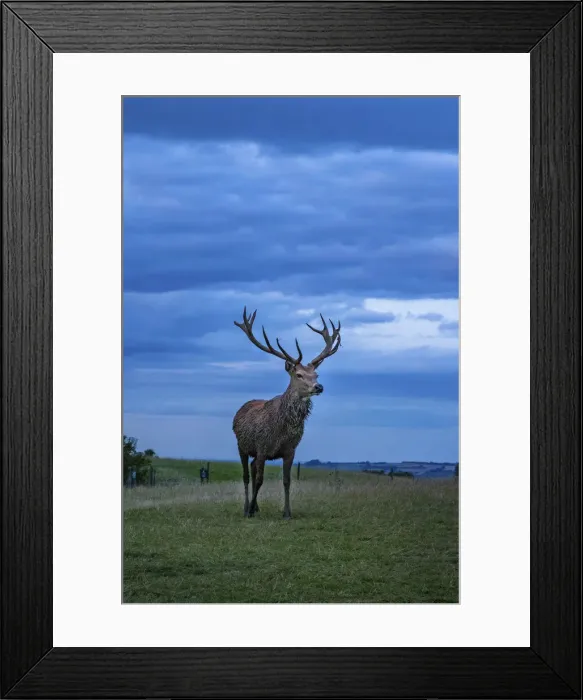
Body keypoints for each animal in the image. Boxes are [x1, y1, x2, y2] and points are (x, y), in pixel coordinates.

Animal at [232, 307, 341, 519]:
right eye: (298, 375)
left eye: (316, 375)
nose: (319, 387)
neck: (280, 429)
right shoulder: (262, 446)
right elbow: (260, 480)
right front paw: (250, 509)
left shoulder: (290, 450)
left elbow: (287, 481)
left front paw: (287, 513)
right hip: (242, 446)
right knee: (246, 476)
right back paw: (247, 508)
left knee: (252, 469)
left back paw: (256, 508)